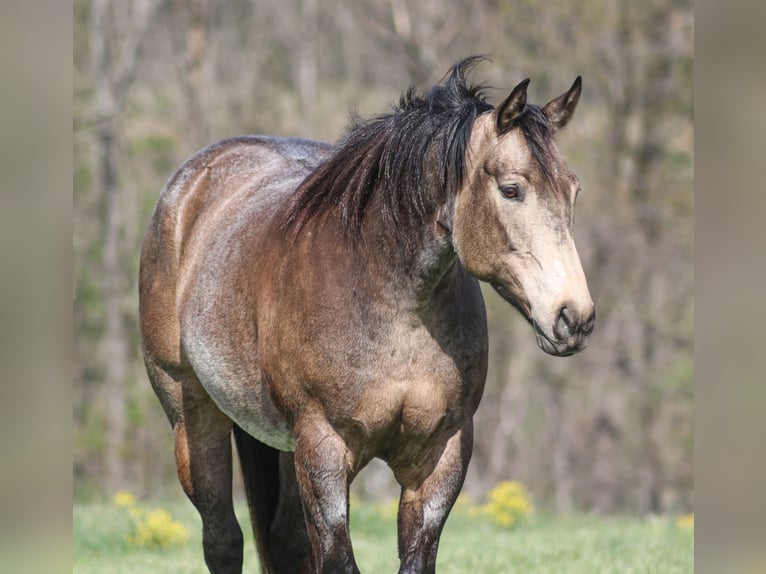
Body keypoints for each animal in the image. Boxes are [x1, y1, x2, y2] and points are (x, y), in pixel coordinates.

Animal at [139, 57, 594, 574]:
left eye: (573, 191)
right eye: (512, 189)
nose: (573, 317)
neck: (392, 304)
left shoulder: (440, 454)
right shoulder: (324, 448)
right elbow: (337, 559)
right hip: (193, 416)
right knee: (222, 538)